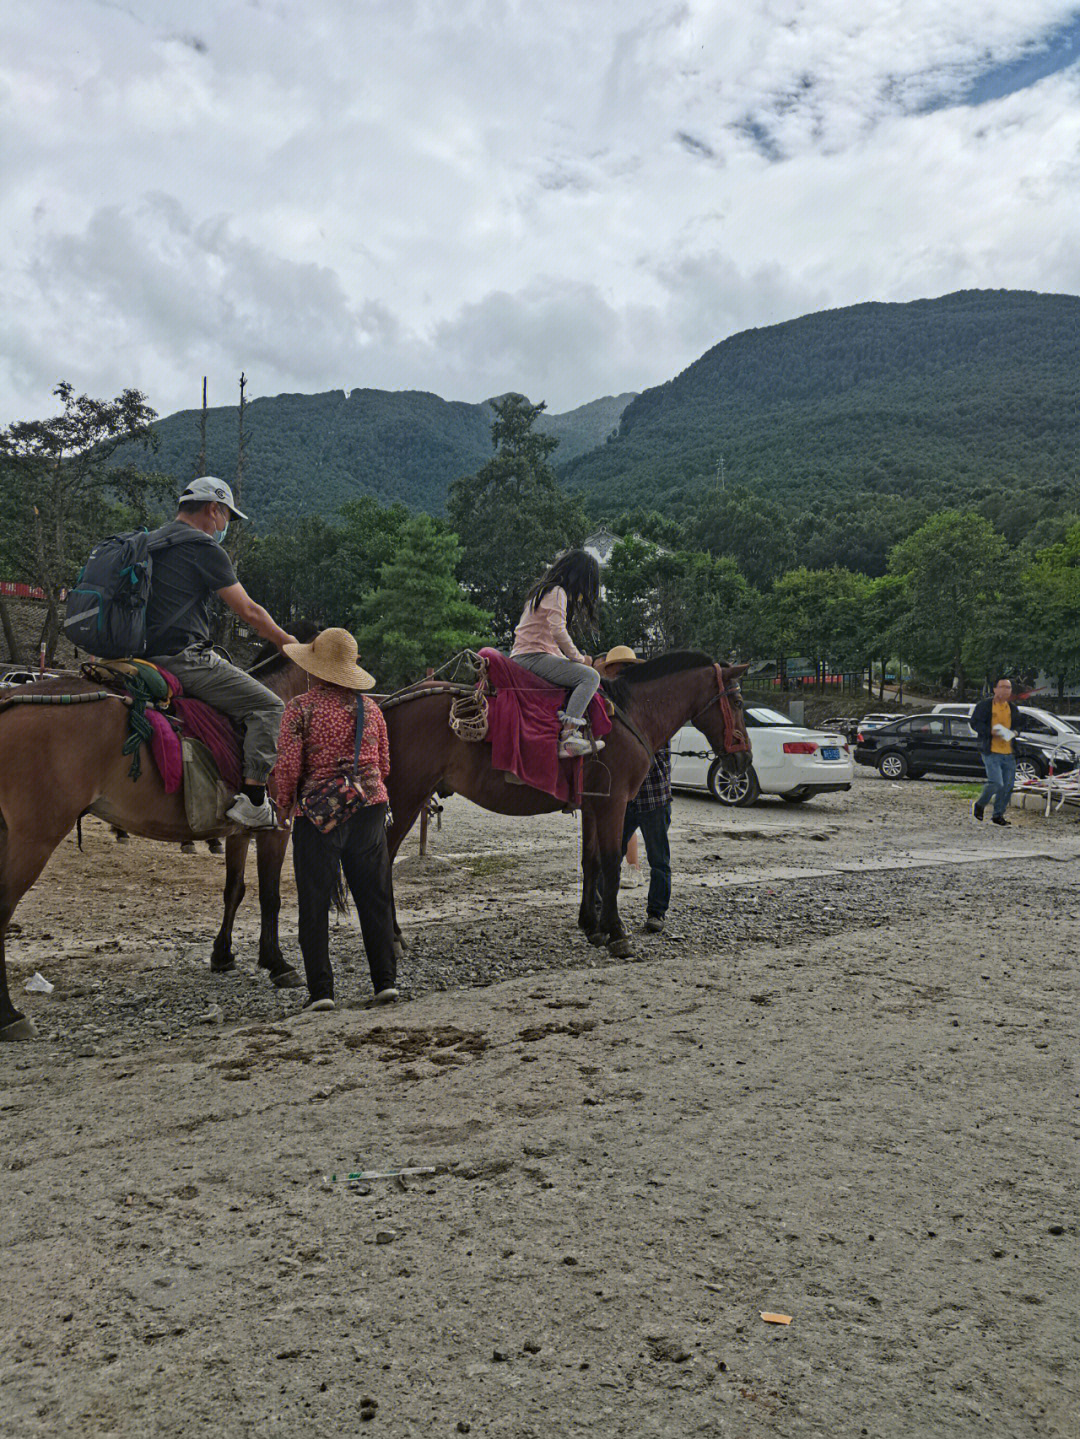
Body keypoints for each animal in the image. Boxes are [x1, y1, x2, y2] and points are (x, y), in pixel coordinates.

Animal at [1, 647, 312, 1041]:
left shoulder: (240, 831)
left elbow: (234, 891)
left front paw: (222, 955)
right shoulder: (278, 827)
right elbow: (270, 896)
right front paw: (277, 963)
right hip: (34, 839)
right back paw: (9, 1015)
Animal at [382, 653, 753, 955]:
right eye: (737, 701)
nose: (744, 759)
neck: (631, 713)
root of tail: (390, 704)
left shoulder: (592, 805)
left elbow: (591, 861)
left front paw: (592, 925)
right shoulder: (614, 803)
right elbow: (612, 862)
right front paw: (616, 931)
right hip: (405, 799)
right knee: (383, 860)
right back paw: (393, 937)